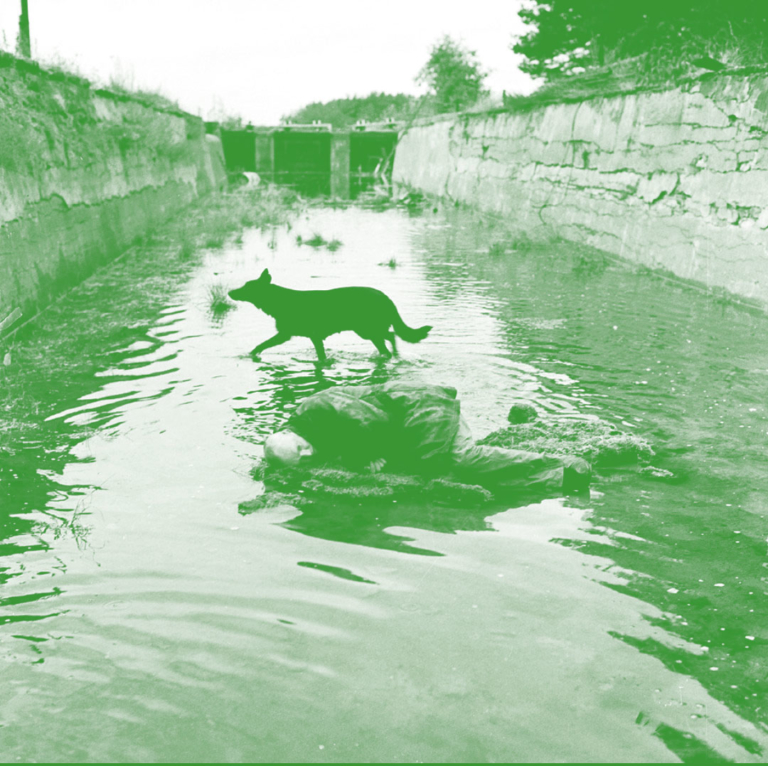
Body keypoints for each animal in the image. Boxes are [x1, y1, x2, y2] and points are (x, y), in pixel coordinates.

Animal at [228, 269, 431, 361]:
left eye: (246, 287)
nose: (230, 292)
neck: (280, 301)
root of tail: (386, 297)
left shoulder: (298, 335)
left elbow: (261, 344)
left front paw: (251, 355)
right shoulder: (293, 335)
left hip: (366, 330)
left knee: (390, 337)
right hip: (369, 331)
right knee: (390, 336)